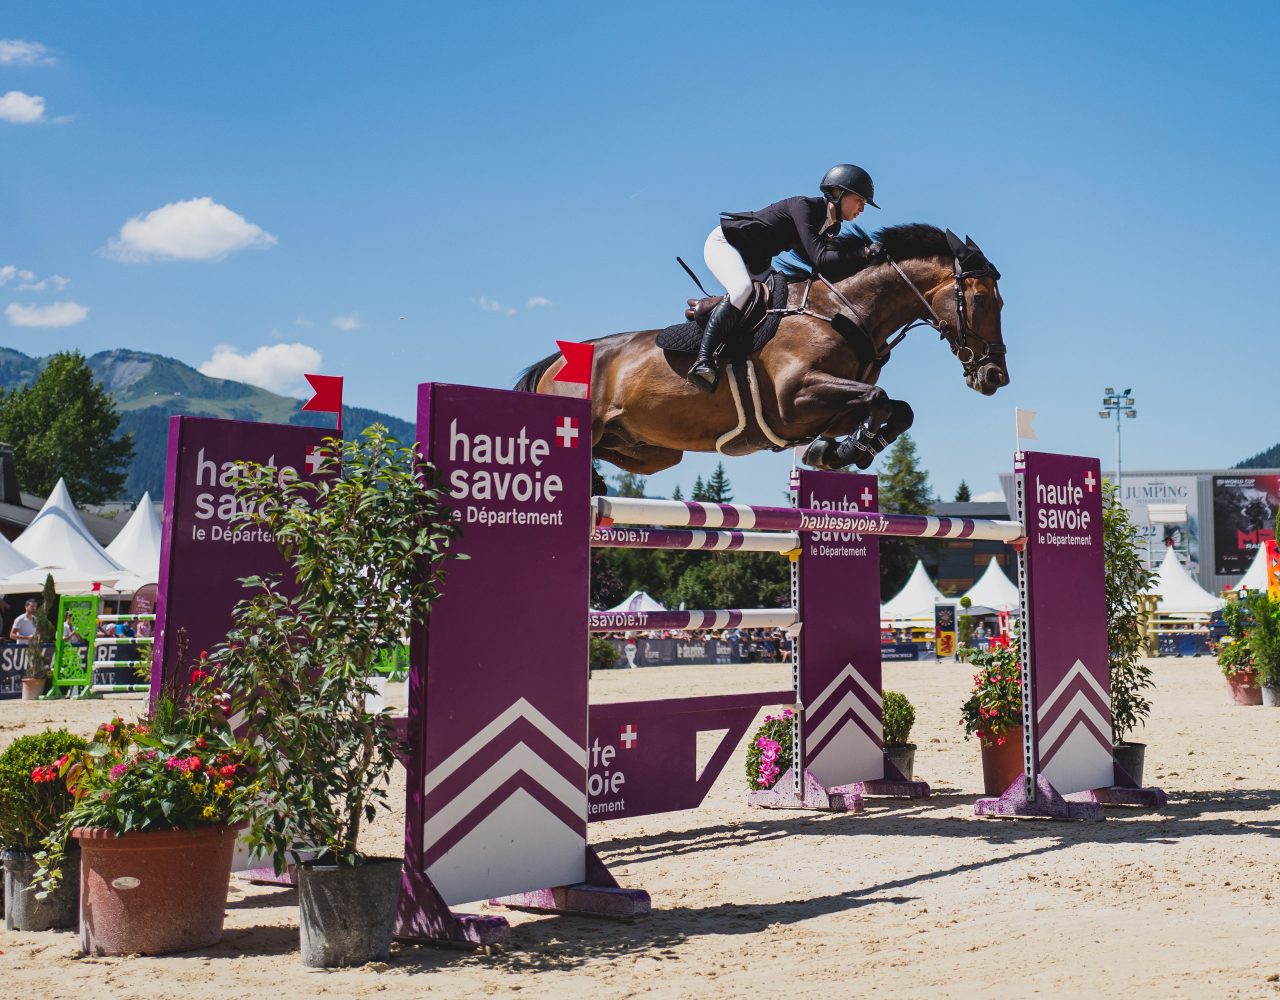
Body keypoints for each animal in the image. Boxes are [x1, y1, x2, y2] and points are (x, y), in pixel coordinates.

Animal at [514, 222, 1003, 478]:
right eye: (981, 300)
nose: (996, 377)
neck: (843, 311)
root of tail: (555, 361)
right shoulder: (795, 398)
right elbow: (880, 399)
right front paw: (846, 451)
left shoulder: (827, 410)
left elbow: (897, 409)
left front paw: (841, 452)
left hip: (652, 452)